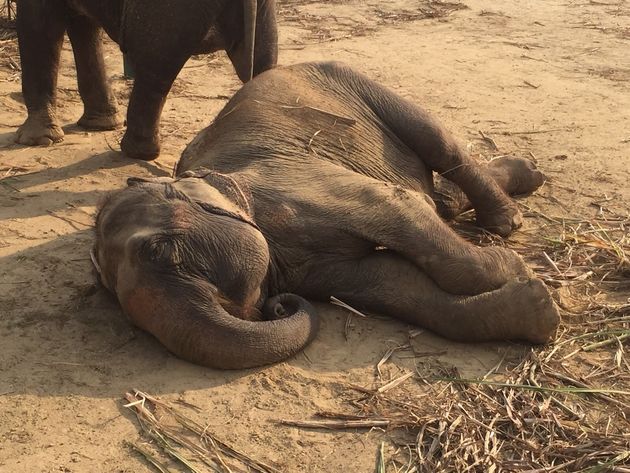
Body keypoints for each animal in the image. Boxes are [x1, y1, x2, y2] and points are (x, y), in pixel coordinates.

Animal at [13, 0, 276, 159]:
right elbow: (83, 24)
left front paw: (36, 141)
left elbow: (39, 22)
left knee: (155, 65)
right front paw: (100, 124)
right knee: (264, 62)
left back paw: (136, 152)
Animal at [91, 60, 560, 366]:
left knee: (439, 144)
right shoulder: (313, 267)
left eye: (161, 252)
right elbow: (398, 287)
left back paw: (506, 221)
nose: (277, 306)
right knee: (438, 194)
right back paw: (525, 179)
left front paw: (515, 268)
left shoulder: (301, 186)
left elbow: (399, 208)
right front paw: (538, 311)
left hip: (361, 85)